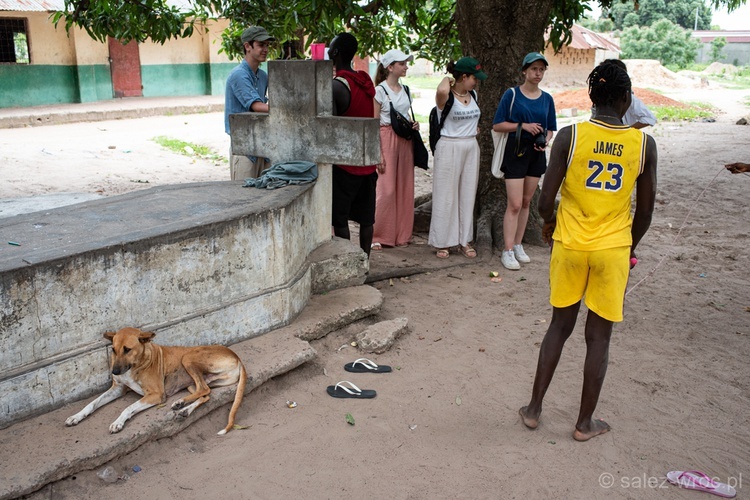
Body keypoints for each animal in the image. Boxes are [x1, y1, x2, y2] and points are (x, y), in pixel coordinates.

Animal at [66, 326, 248, 436]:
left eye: (127, 349)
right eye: (113, 349)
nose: (114, 371)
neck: (136, 364)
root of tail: (237, 356)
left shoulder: (156, 394)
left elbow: (128, 408)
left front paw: (118, 422)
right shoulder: (117, 388)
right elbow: (93, 403)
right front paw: (76, 416)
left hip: (188, 358)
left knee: (204, 390)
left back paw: (180, 404)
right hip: (194, 383)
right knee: (205, 393)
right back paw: (183, 408)